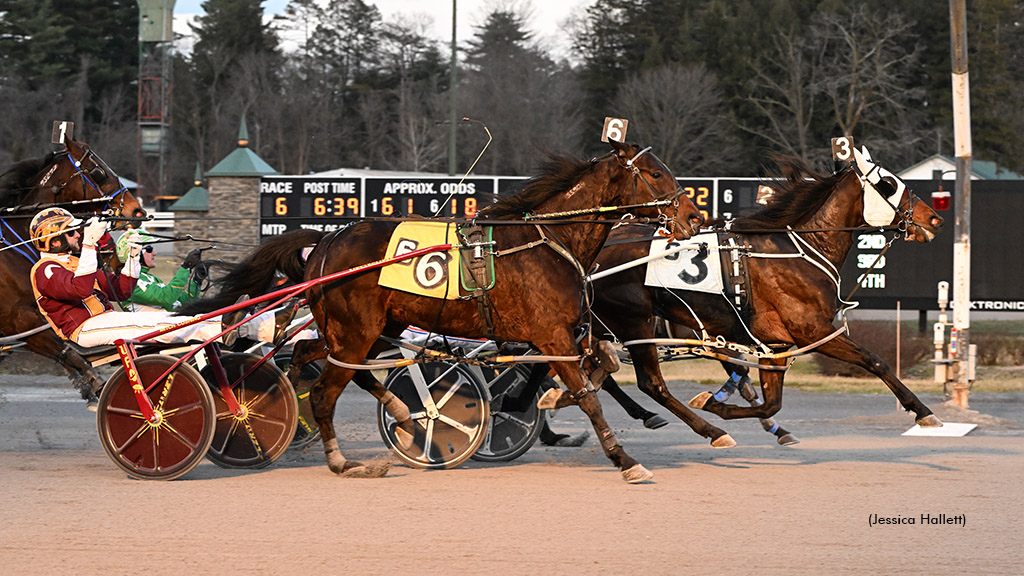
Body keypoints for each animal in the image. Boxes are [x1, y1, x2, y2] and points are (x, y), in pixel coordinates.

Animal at [0, 139, 146, 399]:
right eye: (98, 171)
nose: (136, 210)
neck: (12, 246)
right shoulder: (18, 321)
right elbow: (69, 353)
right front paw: (94, 383)